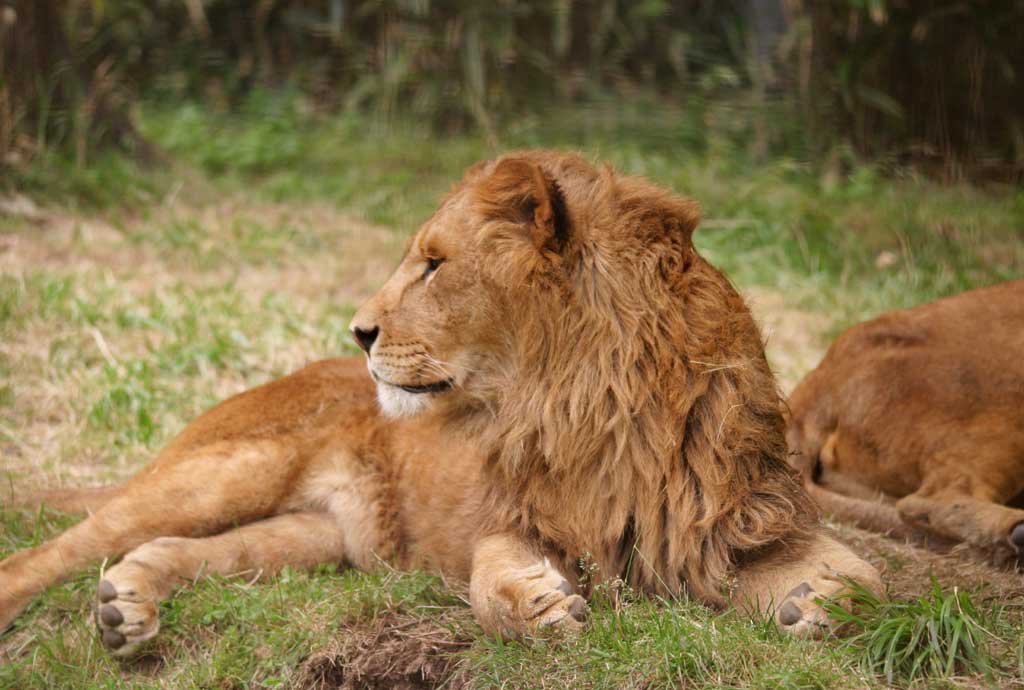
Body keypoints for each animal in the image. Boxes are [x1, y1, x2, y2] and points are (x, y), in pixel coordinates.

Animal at [0, 150, 880, 657]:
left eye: (432, 264)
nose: (359, 330)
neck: (596, 408)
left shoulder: (746, 521)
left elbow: (866, 581)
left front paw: (816, 603)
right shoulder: (509, 517)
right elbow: (492, 575)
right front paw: (534, 606)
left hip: (317, 536)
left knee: (188, 548)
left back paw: (127, 605)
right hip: (227, 471)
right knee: (51, 551)